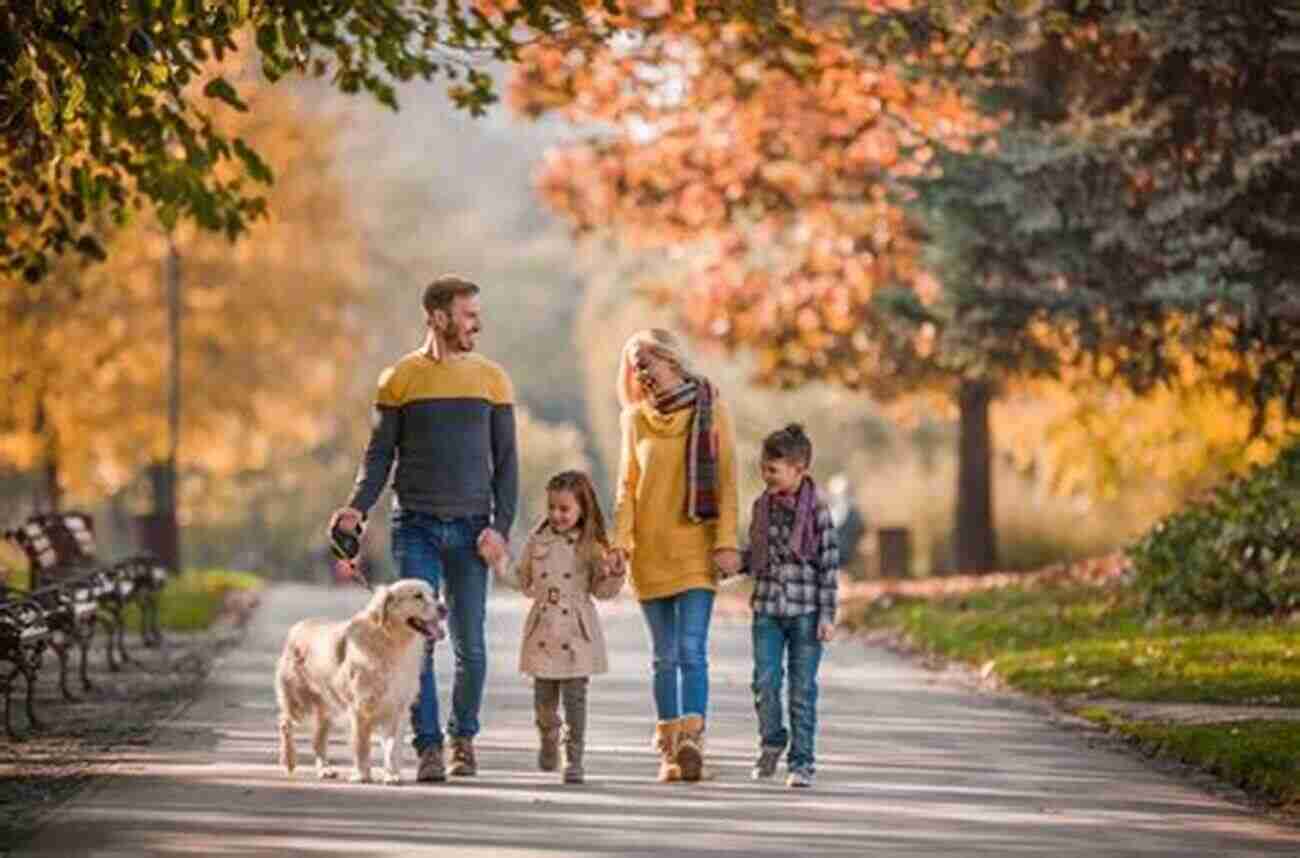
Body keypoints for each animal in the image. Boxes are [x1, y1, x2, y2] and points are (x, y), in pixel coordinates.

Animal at [271, 582, 444, 785]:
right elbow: (361, 745)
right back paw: (289, 759)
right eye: (417, 596)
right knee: (285, 723)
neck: (389, 641)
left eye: (434, 594)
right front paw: (362, 774)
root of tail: (298, 626)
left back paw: (325, 769)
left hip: (326, 707)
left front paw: (391, 774)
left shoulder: (396, 707)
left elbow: (392, 747)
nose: (444, 608)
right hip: (298, 700)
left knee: (318, 739)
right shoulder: (359, 707)